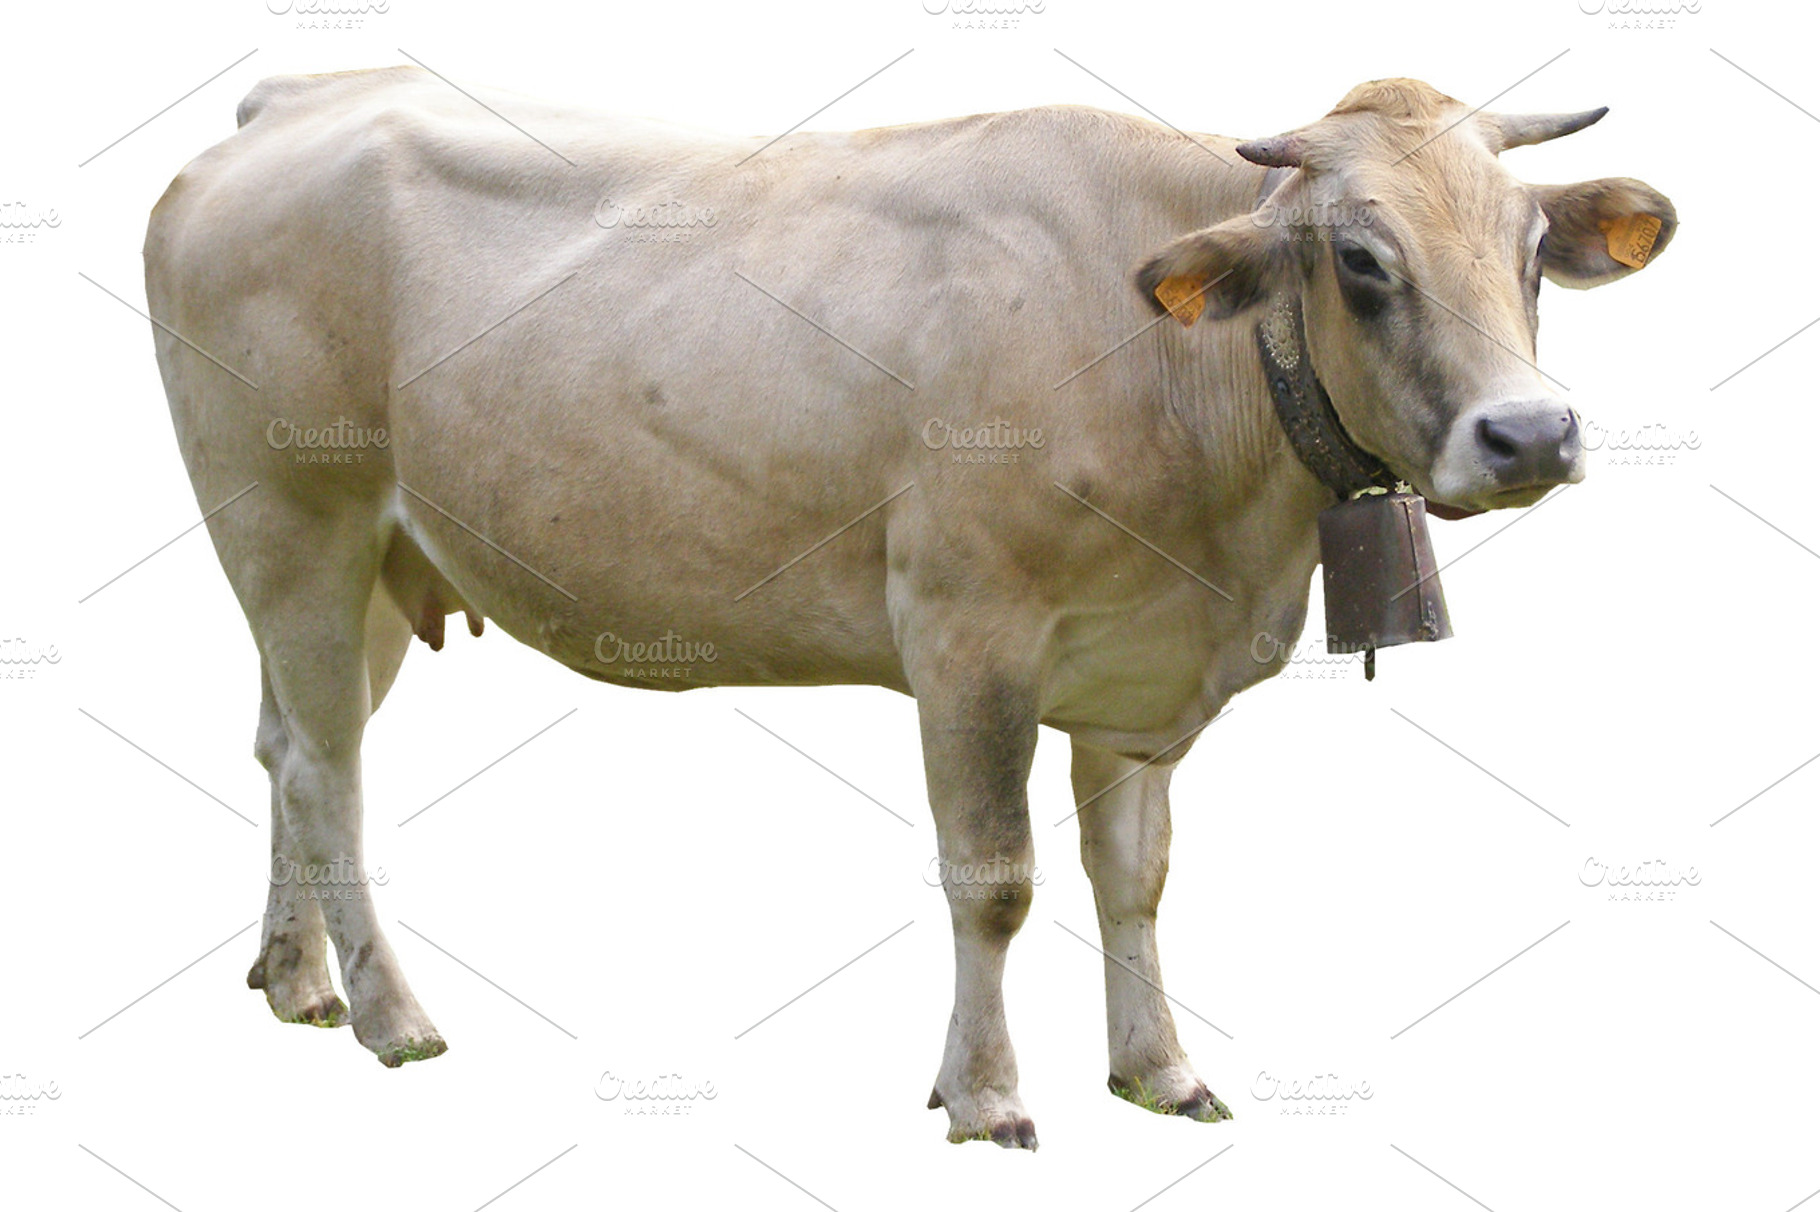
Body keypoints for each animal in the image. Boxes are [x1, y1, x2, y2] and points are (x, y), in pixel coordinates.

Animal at [143, 68, 1675, 1148]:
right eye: (1360, 260)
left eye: (1530, 248)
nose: (1529, 434)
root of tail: (313, 92)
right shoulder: (967, 636)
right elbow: (994, 880)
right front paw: (985, 1095)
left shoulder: (1137, 672)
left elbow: (1137, 878)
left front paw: (1160, 1070)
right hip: (292, 520)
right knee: (328, 772)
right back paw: (390, 1015)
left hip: (369, 567)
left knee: (285, 745)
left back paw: (295, 979)